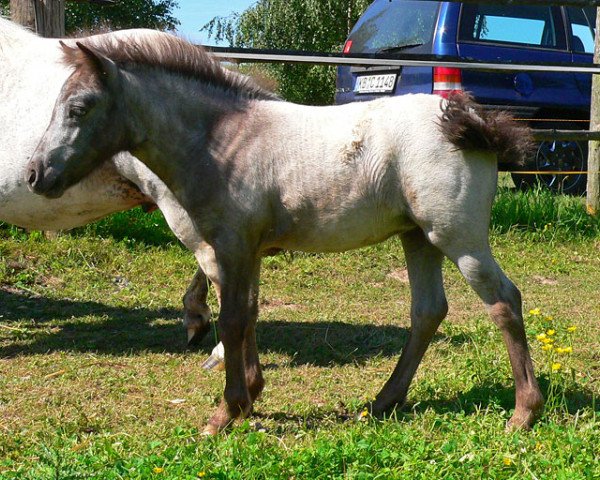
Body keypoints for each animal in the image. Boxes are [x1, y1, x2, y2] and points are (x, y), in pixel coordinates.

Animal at [27, 36, 544, 436]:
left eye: (79, 107)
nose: (35, 174)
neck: (221, 142)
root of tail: (470, 120)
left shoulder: (232, 245)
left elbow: (233, 319)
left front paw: (226, 412)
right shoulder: (244, 251)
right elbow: (249, 314)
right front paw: (250, 397)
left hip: (457, 236)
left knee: (504, 301)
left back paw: (523, 413)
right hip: (417, 237)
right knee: (427, 311)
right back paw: (383, 401)